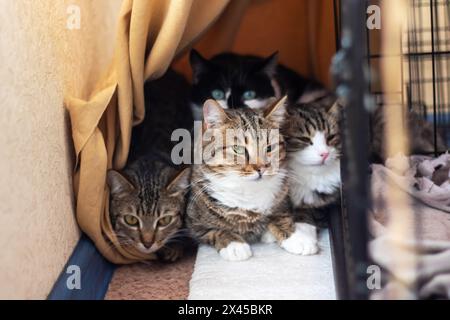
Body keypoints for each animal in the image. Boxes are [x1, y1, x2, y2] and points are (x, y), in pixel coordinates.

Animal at [185, 97, 318, 260]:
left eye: (269, 148)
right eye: (238, 149)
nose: (261, 168)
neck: (247, 189)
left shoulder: (281, 202)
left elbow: (281, 217)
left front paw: (297, 237)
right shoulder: (194, 223)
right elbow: (214, 230)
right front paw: (234, 244)